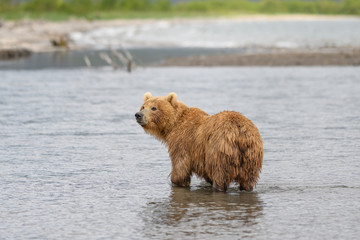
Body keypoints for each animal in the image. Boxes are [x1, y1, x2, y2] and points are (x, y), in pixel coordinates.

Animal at [135, 92, 264, 191]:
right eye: (143, 106)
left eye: (154, 108)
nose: (138, 115)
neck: (173, 125)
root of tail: (240, 133)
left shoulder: (182, 141)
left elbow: (180, 166)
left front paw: (176, 181)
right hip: (252, 155)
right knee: (248, 179)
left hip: (220, 150)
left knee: (220, 174)